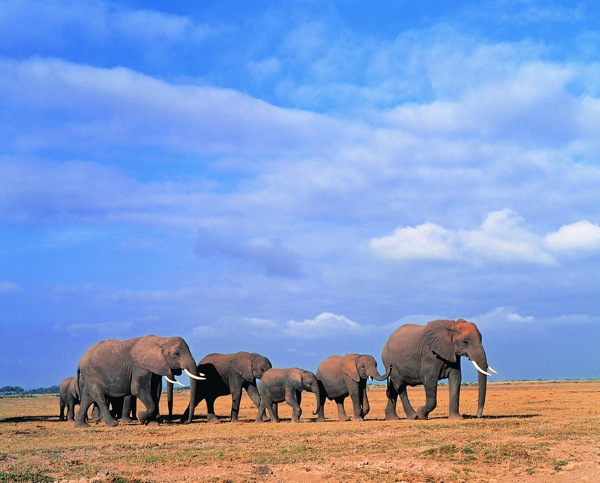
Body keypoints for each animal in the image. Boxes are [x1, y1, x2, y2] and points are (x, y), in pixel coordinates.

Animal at [72, 336, 204, 428]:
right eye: (177, 354)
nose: (186, 422)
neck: (162, 340)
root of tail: (79, 362)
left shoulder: (152, 368)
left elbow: (155, 391)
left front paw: (152, 423)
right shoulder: (139, 367)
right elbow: (137, 389)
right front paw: (141, 418)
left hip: (89, 376)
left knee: (87, 397)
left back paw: (81, 425)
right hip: (91, 373)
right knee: (99, 396)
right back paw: (112, 424)